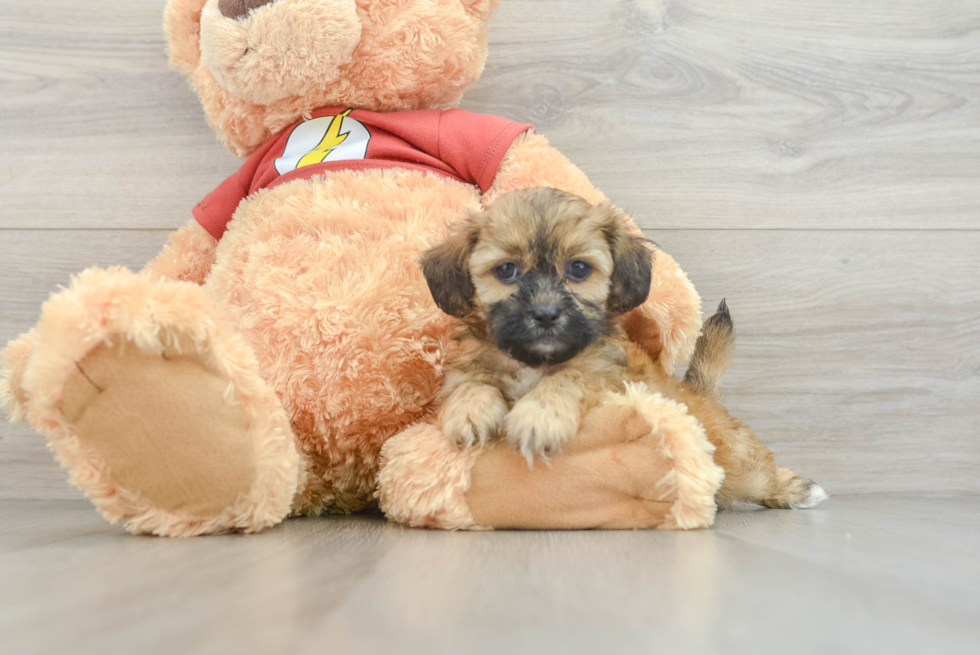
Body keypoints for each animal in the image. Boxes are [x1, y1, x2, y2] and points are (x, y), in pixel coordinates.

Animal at [422, 187, 828, 510]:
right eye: (506, 270)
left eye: (579, 269)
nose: (546, 314)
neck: (535, 362)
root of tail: (700, 394)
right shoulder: (468, 365)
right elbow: (471, 383)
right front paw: (470, 412)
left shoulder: (608, 378)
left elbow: (570, 378)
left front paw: (539, 415)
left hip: (737, 460)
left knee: (758, 471)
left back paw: (798, 491)